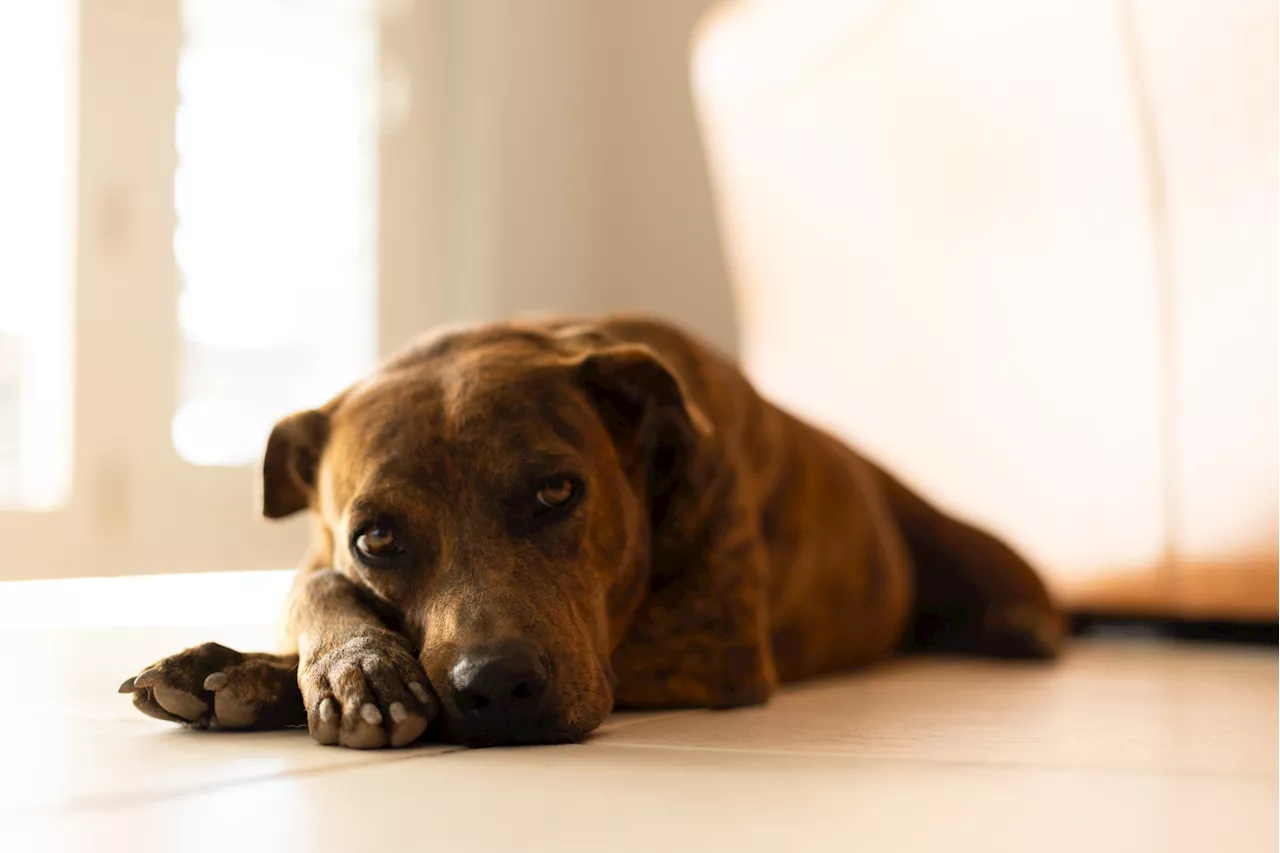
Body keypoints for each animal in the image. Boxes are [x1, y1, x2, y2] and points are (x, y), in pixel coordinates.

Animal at [117, 312, 1059, 742]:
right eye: (375, 538)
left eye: (556, 491)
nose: (496, 687)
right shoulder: (319, 550)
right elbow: (315, 585)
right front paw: (303, 668)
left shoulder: (698, 648)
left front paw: (314, 676)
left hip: (961, 536)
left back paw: (1021, 628)